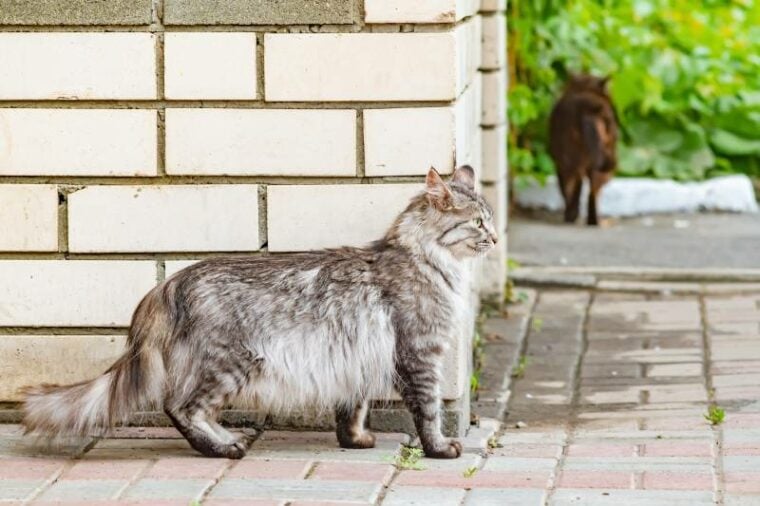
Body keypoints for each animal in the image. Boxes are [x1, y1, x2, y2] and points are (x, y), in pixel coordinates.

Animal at [20, 166, 498, 458]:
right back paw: (225, 447)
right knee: (182, 407)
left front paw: (355, 439)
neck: (427, 258)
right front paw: (440, 449)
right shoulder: (419, 353)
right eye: (477, 223)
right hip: (233, 362)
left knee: (183, 407)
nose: (495, 238)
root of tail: (166, 285)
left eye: (491, 219)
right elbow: (429, 410)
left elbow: (353, 406)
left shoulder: (357, 355)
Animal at [548, 72, 620, 225]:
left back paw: (573, 216)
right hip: (602, 163)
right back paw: (593, 221)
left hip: (568, 161)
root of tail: (588, 110)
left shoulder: (559, 163)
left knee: (575, 187)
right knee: (592, 191)